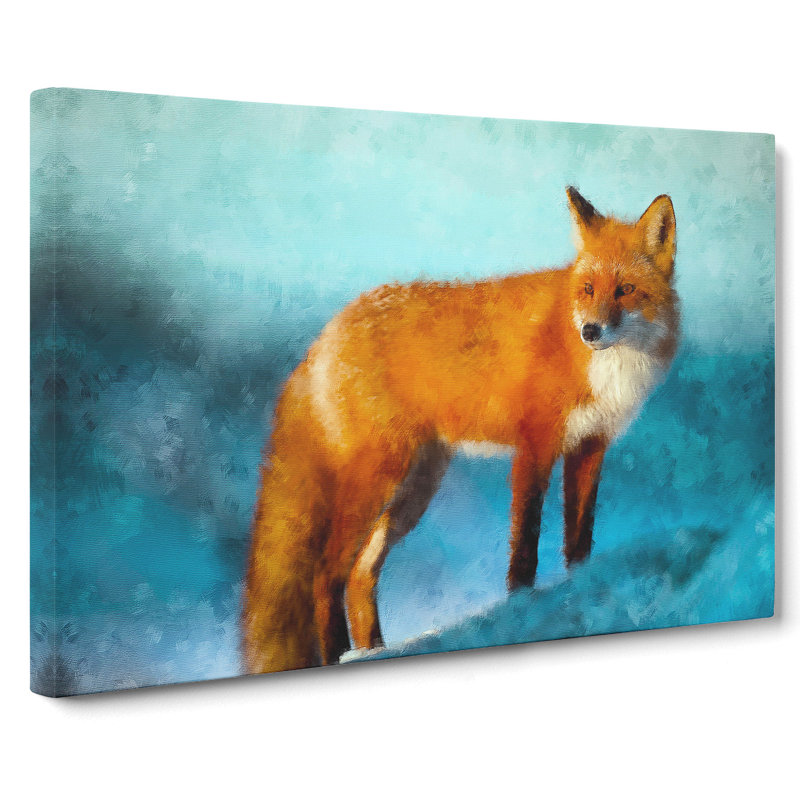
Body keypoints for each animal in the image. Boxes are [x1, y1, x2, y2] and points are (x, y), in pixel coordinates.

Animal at [242, 187, 679, 674]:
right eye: (587, 289)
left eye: (625, 290)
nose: (590, 331)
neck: (604, 366)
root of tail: (325, 334)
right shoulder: (535, 446)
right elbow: (525, 546)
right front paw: (519, 609)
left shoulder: (588, 448)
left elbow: (579, 540)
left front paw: (580, 589)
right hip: (379, 479)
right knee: (326, 574)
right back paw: (339, 655)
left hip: (415, 490)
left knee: (360, 574)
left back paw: (373, 651)